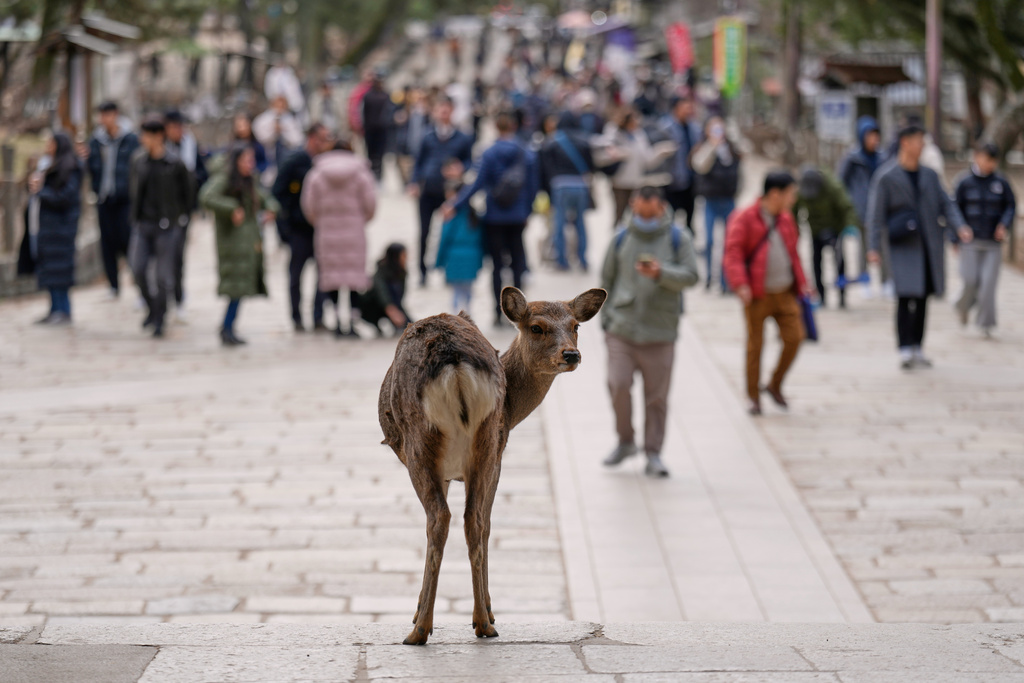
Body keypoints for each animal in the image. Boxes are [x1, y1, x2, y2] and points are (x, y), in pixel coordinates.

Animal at [378, 285, 606, 645]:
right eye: (536, 327)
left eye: (575, 326)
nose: (571, 355)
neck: (513, 410)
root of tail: (454, 362)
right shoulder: (492, 453)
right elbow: (483, 523)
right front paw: (484, 611)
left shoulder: (487, 458)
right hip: (485, 439)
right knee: (472, 519)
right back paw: (482, 623)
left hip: (424, 444)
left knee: (445, 518)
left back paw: (425, 628)